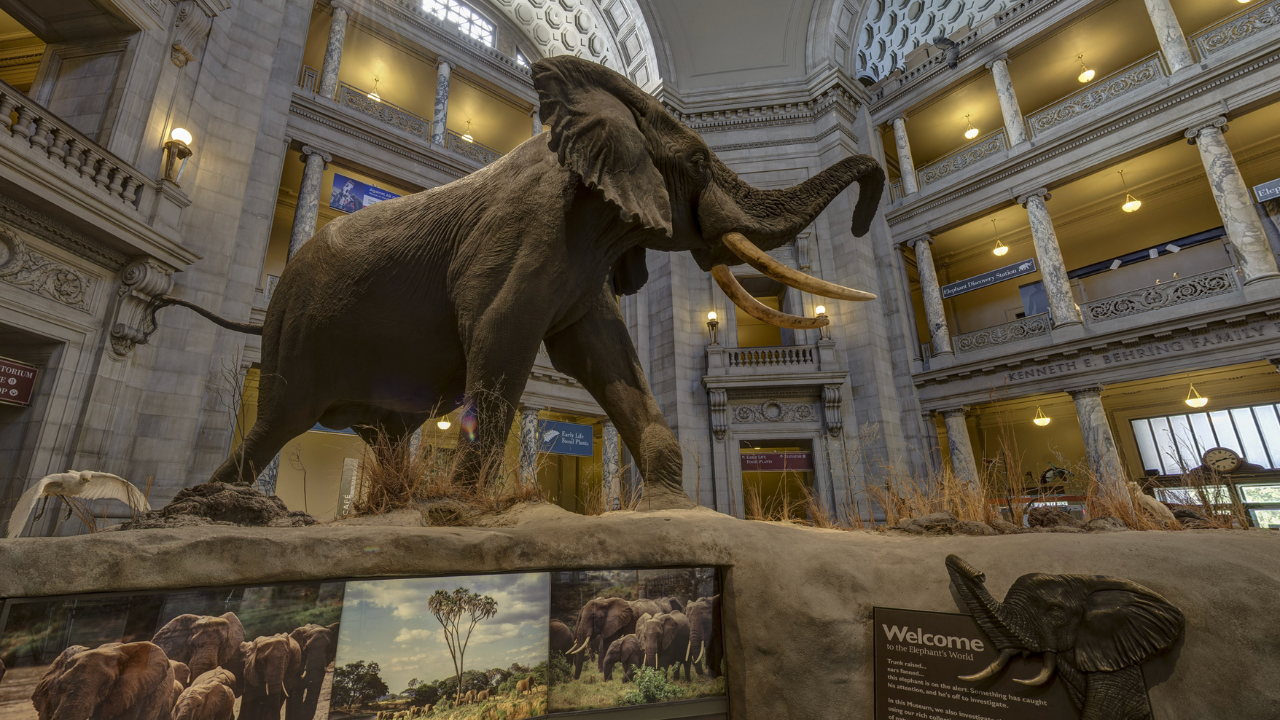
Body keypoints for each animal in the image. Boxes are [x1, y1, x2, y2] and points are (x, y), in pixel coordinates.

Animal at [152, 54, 880, 504]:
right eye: (699, 162)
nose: (867, 219)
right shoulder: (528, 231)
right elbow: (502, 338)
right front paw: (459, 503)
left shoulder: (585, 261)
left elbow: (609, 356)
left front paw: (670, 501)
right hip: (296, 329)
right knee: (280, 418)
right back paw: (205, 503)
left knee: (384, 432)